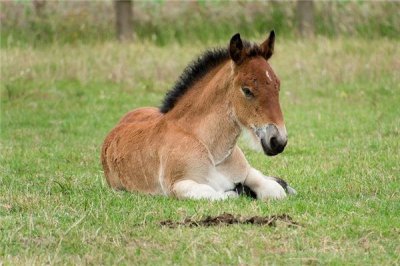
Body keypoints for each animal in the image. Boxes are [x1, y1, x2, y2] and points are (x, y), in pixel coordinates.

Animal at [101, 31, 296, 200]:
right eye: (247, 90)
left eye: (277, 86)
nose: (278, 141)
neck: (213, 151)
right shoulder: (178, 185)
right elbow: (223, 194)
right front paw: (241, 191)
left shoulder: (247, 172)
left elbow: (275, 190)